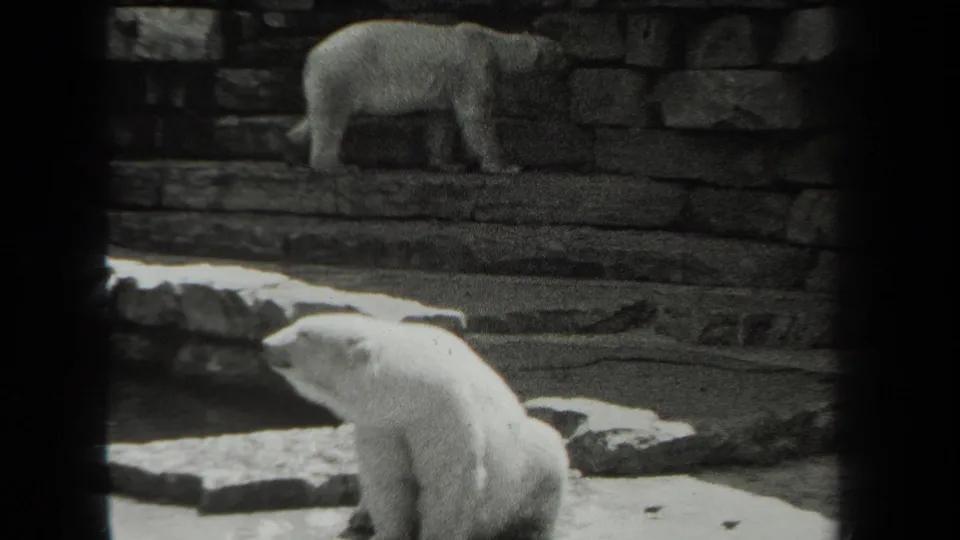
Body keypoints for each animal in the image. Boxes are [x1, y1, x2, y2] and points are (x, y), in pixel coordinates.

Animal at [260, 313, 569, 540]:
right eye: (298, 324)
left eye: (304, 333)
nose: (265, 344)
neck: (407, 389)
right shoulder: (381, 424)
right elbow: (387, 478)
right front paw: (388, 531)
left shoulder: (441, 413)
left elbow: (448, 481)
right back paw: (361, 518)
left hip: (530, 464)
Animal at [281, 19, 569, 177]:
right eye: (561, 52)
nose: (573, 58)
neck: (490, 40)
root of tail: (312, 55)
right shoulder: (473, 67)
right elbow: (475, 115)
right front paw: (505, 166)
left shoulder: (448, 84)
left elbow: (440, 121)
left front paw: (448, 164)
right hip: (341, 73)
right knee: (331, 120)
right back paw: (335, 166)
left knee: (316, 117)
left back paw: (293, 140)